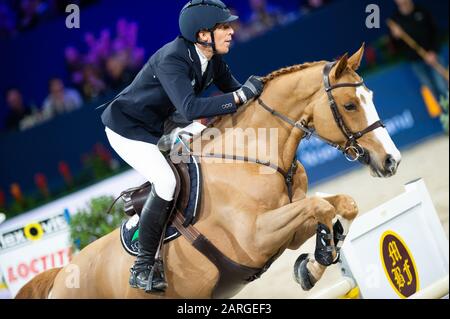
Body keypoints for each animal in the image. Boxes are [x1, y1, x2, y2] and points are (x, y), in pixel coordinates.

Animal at [15, 45, 400, 300]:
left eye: (370, 96)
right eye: (349, 105)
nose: (391, 161)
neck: (256, 158)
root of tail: (60, 276)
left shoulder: (287, 230)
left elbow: (341, 204)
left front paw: (311, 265)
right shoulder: (255, 238)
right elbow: (320, 206)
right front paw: (315, 261)